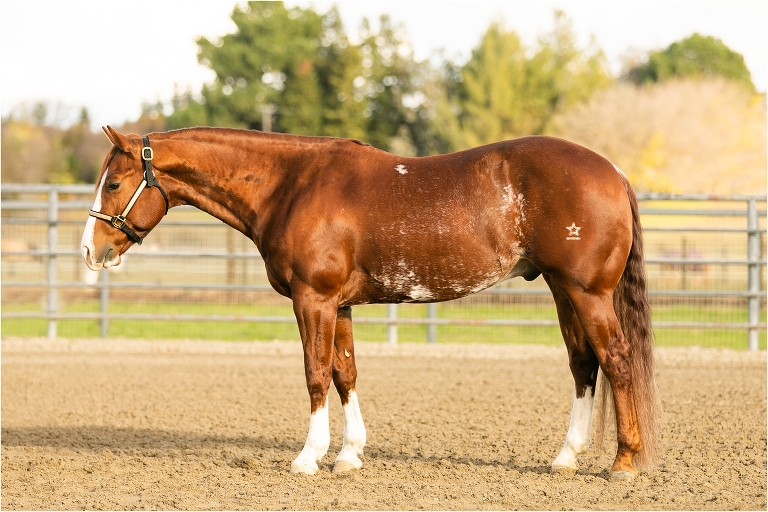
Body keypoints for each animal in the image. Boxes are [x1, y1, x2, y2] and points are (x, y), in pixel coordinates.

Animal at [81, 126, 661, 482]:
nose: (90, 250)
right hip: (563, 290)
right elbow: (346, 373)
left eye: (114, 182)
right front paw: (349, 455)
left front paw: (309, 457)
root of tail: (614, 172)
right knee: (584, 366)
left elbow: (316, 374)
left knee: (617, 359)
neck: (291, 185)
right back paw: (566, 457)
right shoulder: (338, 306)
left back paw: (625, 462)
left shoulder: (312, 300)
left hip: (586, 293)